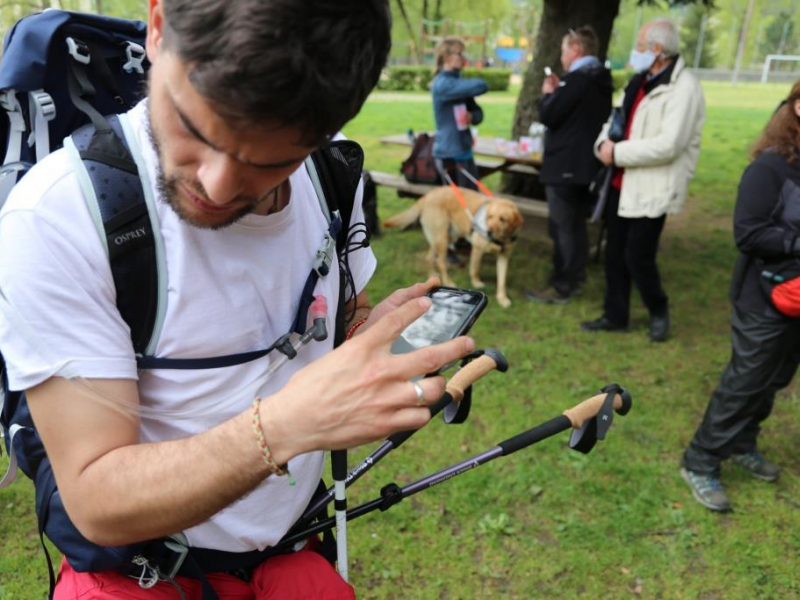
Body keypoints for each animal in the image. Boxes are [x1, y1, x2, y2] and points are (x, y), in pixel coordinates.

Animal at [382, 186, 520, 310]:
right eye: (490, 217)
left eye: (502, 219)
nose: (488, 232)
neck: (502, 238)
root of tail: (429, 194)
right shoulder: (477, 249)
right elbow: (475, 269)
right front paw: (477, 283)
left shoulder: (504, 256)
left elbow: (502, 281)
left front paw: (503, 299)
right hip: (442, 239)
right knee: (441, 262)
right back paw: (447, 282)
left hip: (441, 238)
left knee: (429, 257)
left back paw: (433, 275)